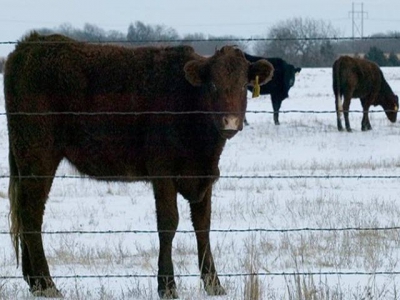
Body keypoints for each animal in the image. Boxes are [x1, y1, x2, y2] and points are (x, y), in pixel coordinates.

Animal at [3, 31, 274, 298]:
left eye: (243, 86)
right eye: (213, 85)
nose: (230, 122)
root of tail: (29, 43)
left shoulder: (203, 175)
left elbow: (203, 226)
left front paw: (214, 284)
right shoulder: (163, 172)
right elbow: (168, 223)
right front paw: (167, 286)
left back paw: (35, 283)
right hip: (38, 155)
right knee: (31, 215)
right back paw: (47, 284)